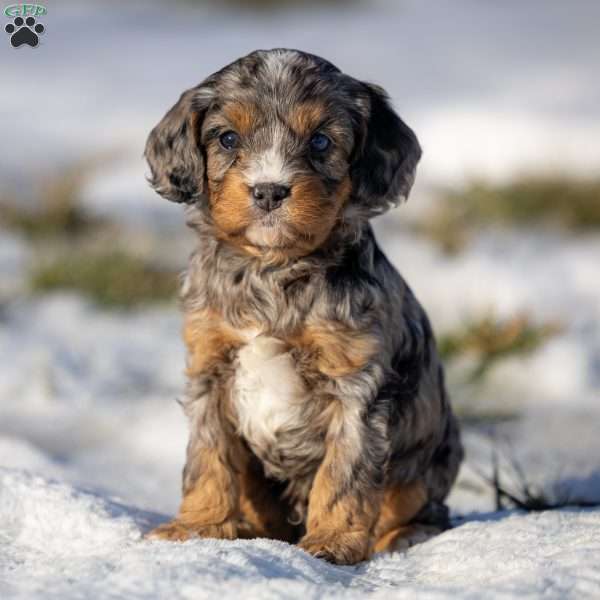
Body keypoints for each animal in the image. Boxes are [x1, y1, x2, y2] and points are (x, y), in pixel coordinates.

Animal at [145, 49, 464, 564]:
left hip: (420, 476)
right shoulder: (209, 369)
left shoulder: (356, 385)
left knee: (425, 511)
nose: (269, 190)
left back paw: (402, 537)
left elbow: (343, 471)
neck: (272, 270)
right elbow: (207, 458)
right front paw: (195, 527)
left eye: (320, 141)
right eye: (228, 138)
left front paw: (331, 541)